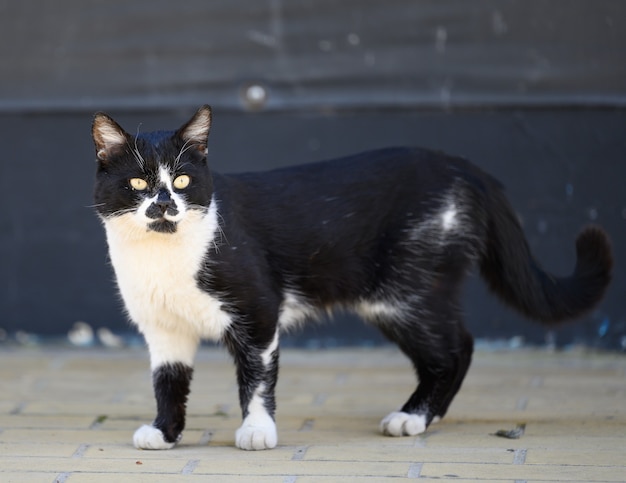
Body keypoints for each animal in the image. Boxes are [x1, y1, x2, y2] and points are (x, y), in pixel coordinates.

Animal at [91, 105, 608, 450]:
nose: (164, 205)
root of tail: (462, 166)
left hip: (405, 289)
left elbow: (256, 379)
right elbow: (168, 381)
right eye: (137, 183)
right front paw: (165, 432)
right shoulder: (163, 329)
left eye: (181, 181)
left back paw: (413, 417)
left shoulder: (258, 312)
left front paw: (257, 431)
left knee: (456, 348)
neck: (163, 259)